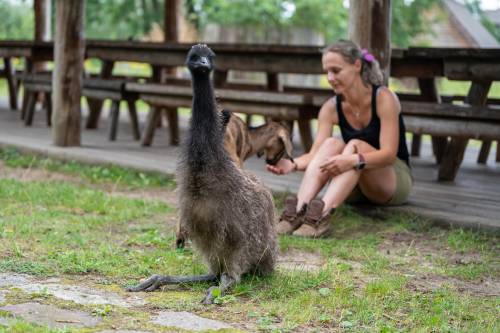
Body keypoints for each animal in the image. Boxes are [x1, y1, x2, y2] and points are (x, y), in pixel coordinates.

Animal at [128, 42, 278, 304]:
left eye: (210, 57)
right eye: (194, 56)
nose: (204, 65)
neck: (206, 169)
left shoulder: (237, 238)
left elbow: (229, 279)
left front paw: (213, 294)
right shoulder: (201, 230)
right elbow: (212, 274)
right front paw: (155, 278)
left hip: (249, 249)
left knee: (228, 277)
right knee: (213, 274)